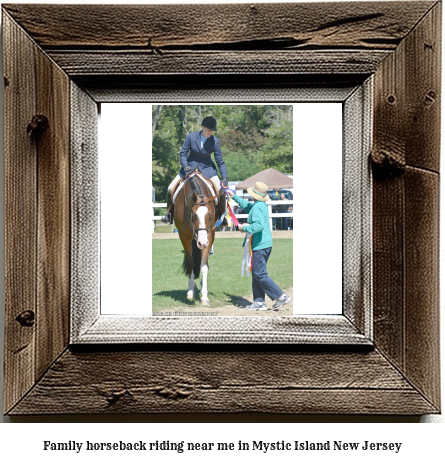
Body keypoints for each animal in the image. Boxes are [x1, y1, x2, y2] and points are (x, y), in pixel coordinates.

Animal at [173, 167, 218, 304]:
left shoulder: (209, 236)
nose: (202, 243)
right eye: (194, 216)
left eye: (210, 215)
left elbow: (204, 266)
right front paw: (190, 292)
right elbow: (191, 263)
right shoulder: (184, 236)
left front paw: (204, 297)